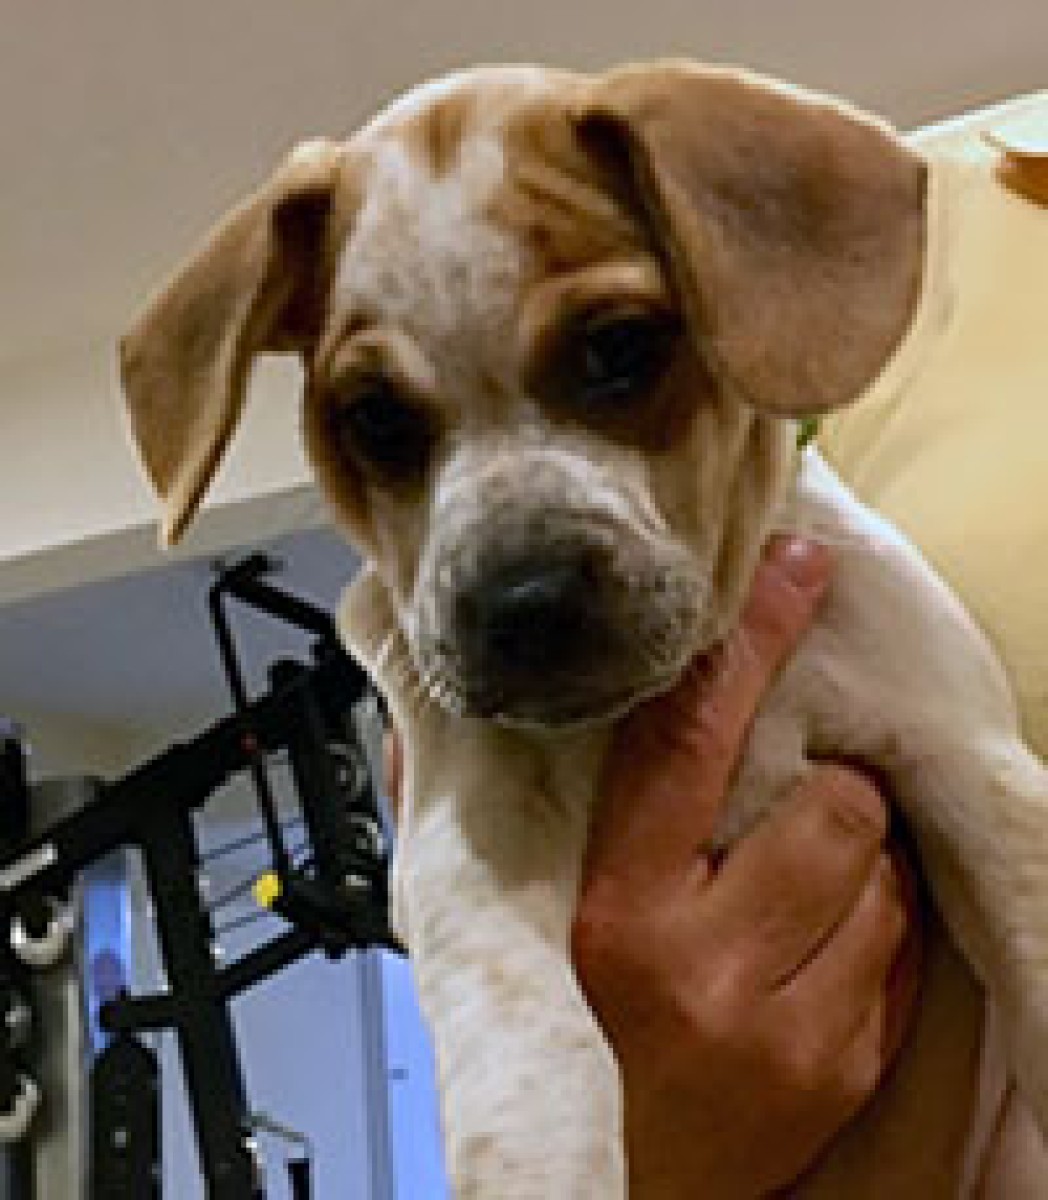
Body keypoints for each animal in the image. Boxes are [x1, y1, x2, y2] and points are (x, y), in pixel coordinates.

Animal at [119, 62, 1048, 1196]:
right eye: (375, 418)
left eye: (618, 349)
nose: (523, 608)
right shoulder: (471, 838)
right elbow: (541, 1062)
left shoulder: (971, 766)